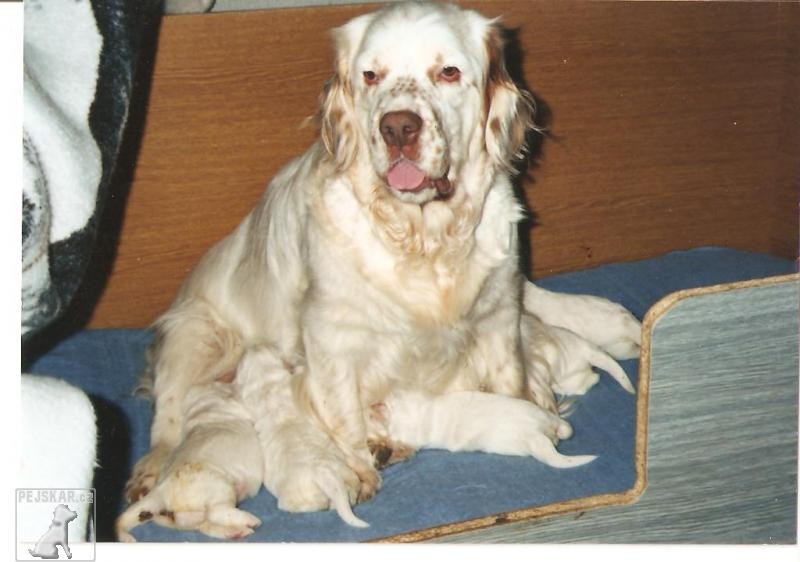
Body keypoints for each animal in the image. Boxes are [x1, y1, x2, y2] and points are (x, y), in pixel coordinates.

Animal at [115, 380, 260, 540]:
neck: (204, 408)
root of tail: (161, 488)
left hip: (189, 517)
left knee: (205, 525)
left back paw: (235, 531)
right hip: (222, 487)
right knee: (216, 513)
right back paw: (249, 520)